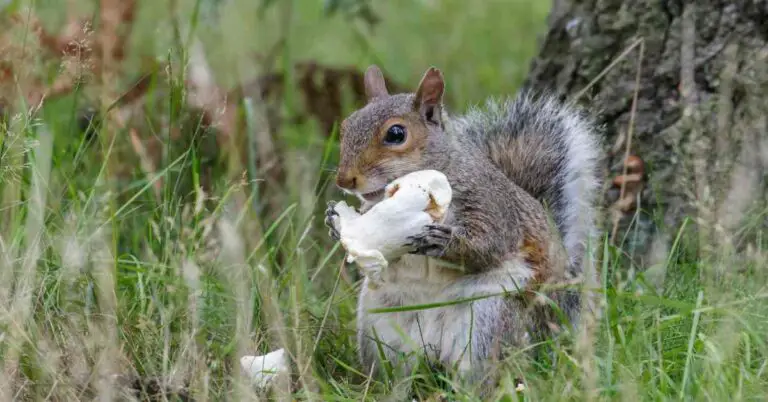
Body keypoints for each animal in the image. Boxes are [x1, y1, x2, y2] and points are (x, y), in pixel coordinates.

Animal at [324, 66, 600, 398]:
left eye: (396, 134)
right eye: (346, 125)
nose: (344, 179)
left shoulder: (491, 205)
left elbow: (489, 244)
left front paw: (442, 242)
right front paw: (335, 222)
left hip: (487, 322)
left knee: (482, 374)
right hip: (380, 329)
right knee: (396, 372)